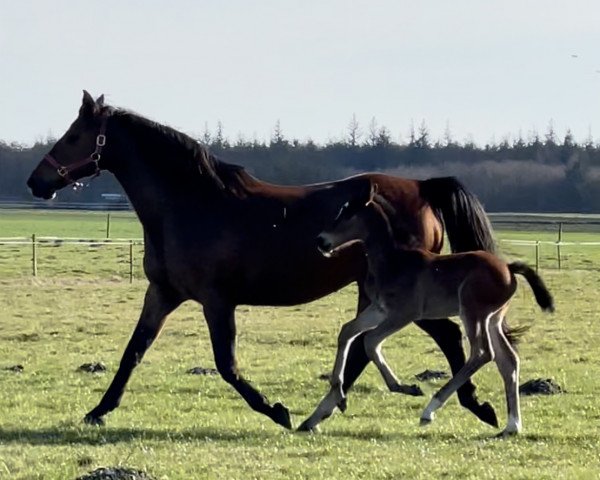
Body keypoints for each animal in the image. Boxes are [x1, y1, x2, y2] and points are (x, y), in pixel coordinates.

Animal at [298, 183, 552, 436]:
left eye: (348, 213)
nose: (321, 241)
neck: (393, 260)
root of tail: (509, 269)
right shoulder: (380, 309)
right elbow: (347, 331)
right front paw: (339, 394)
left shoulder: (404, 313)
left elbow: (370, 341)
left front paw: (405, 387)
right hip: (493, 319)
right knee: (508, 360)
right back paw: (512, 426)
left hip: (473, 312)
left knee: (482, 353)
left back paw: (430, 410)